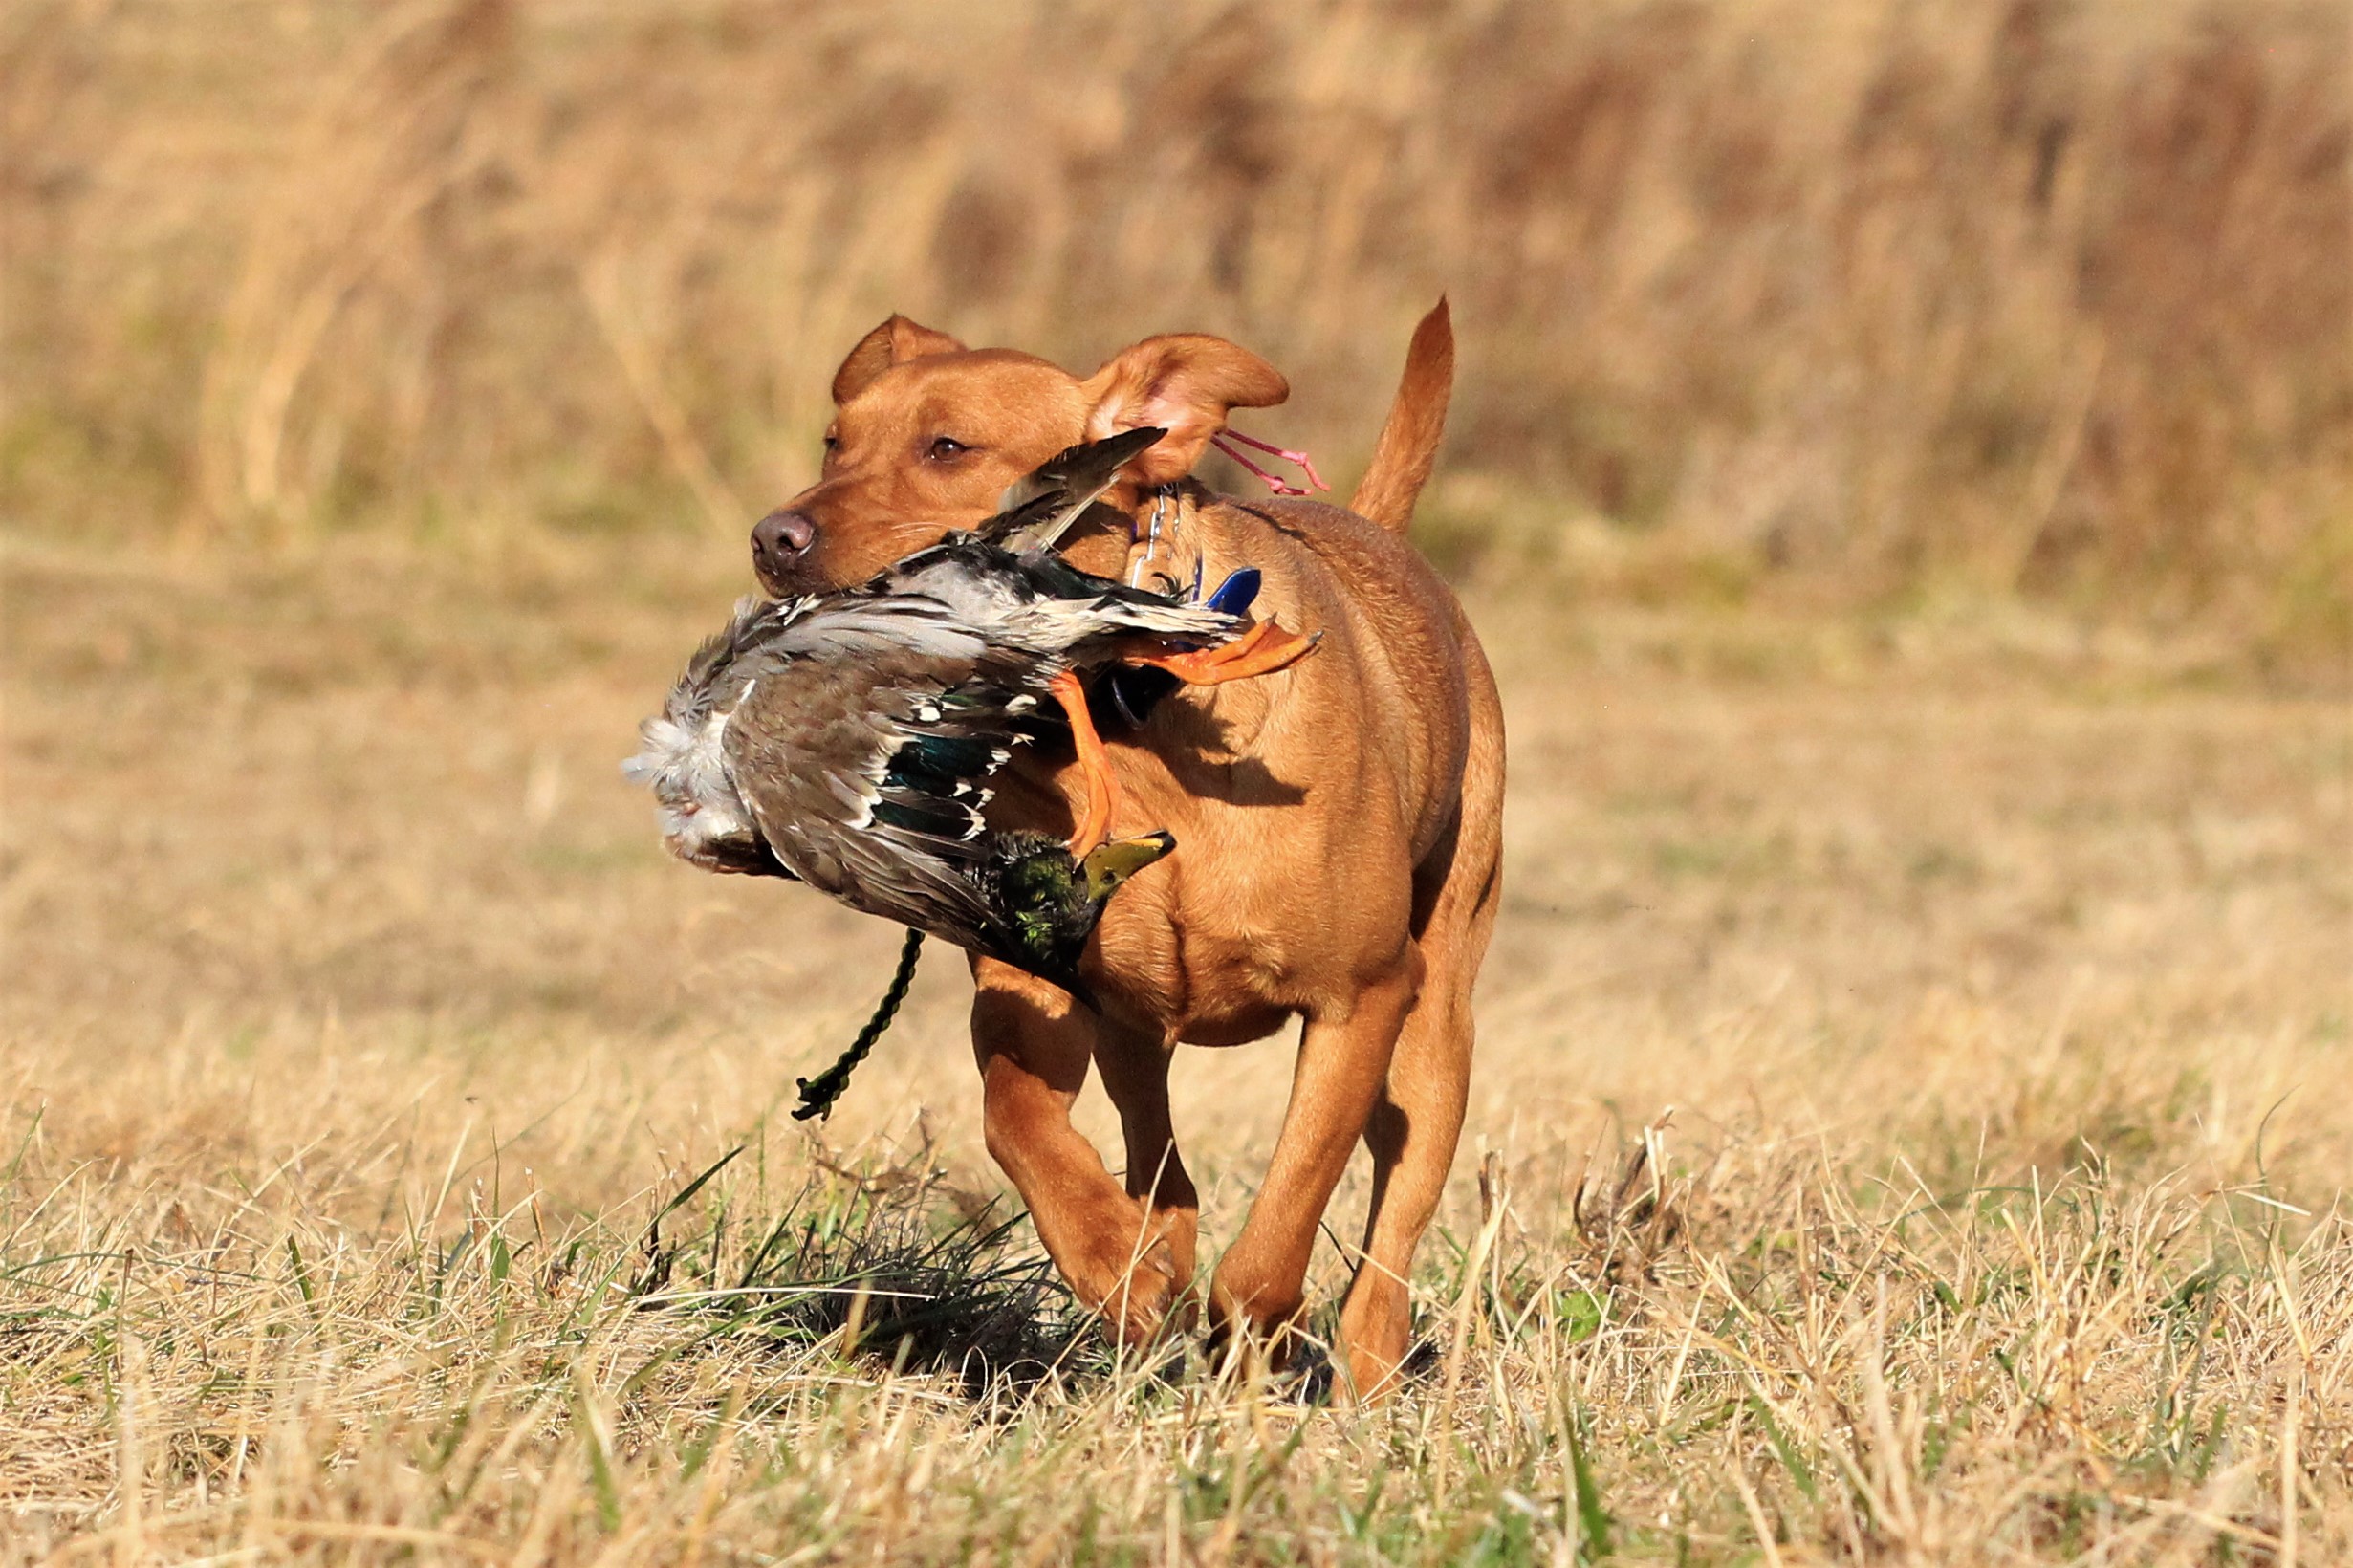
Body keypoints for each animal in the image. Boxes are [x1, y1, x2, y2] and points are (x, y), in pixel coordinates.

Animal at [743, 301, 1496, 1393]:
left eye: (947, 447)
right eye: (833, 442)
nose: (774, 535)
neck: (1130, 720)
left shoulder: (1361, 998)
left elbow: (1287, 1209)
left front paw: (1251, 1333)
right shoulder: (1030, 982)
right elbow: (1015, 1120)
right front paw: (1112, 1262)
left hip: (1434, 1025)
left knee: (1393, 1218)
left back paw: (1362, 1364)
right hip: (1134, 1033)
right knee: (1160, 1162)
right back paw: (1155, 1272)